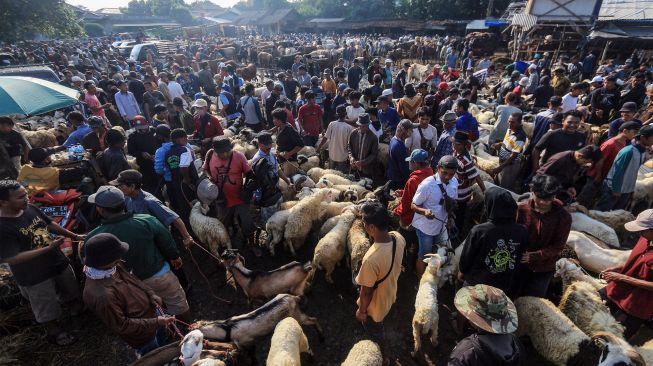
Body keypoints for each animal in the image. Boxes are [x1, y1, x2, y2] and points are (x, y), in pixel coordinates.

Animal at [192, 294, 322, 348]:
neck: (227, 328)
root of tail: (293, 297)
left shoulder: (247, 341)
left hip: (297, 315)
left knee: (313, 319)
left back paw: (321, 337)